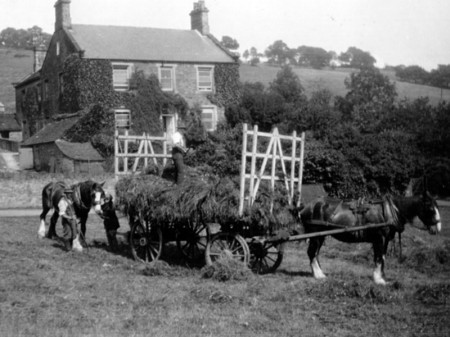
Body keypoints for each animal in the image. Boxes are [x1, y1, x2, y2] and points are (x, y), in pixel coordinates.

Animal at [300, 190, 442, 282]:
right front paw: (378, 279)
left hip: (320, 236)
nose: (438, 228)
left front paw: (381, 276)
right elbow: (379, 258)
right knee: (312, 252)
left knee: (315, 253)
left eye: (437, 206)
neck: (389, 211)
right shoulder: (379, 238)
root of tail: (307, 207)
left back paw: (319, 272)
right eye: (430, 208)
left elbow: (382, 257)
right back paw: (318, 275)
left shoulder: (385, 240)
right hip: (316, 235)